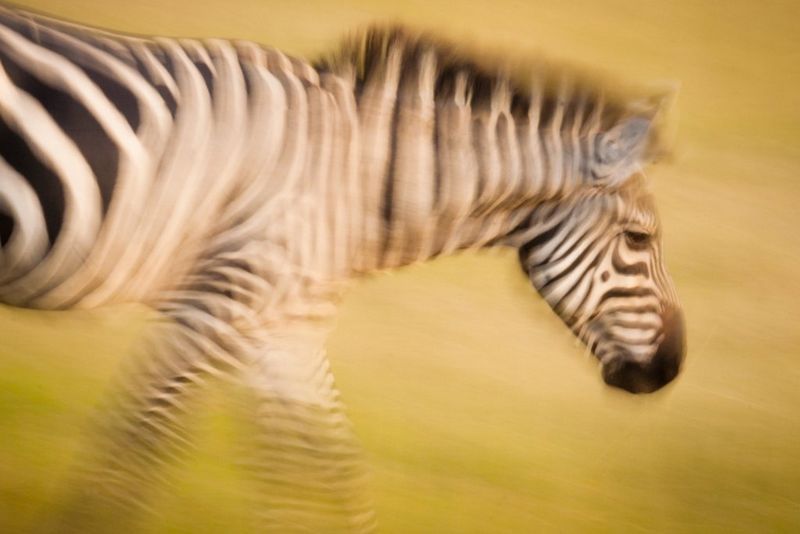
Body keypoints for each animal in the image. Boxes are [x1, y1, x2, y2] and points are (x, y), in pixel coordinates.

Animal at [0, 4, 685, 532]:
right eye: (638, 238)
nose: (671, 369)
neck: (360, 183)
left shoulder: (286, 327)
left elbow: (331, 467)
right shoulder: (218, 306)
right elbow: (140, 441)